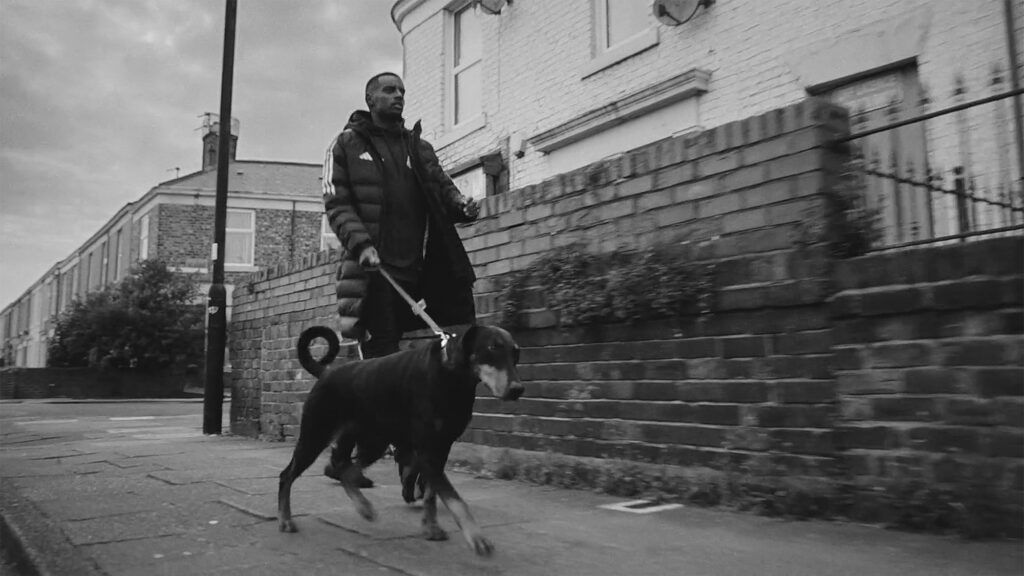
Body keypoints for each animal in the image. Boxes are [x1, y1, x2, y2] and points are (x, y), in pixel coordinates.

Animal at [278, 323, 524, 553]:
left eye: (516, 353)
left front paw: (431, 527)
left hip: (374, 442)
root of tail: (326, 372)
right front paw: (477, 538)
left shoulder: (442, 448)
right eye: (492, 347)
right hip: (315, 436)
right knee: (287, 475)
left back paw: (364, 508)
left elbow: (431, 494)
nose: (517, 389)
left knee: (347, 472)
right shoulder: (427, 451)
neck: (451, 374)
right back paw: (286, 520)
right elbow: (455, 500)